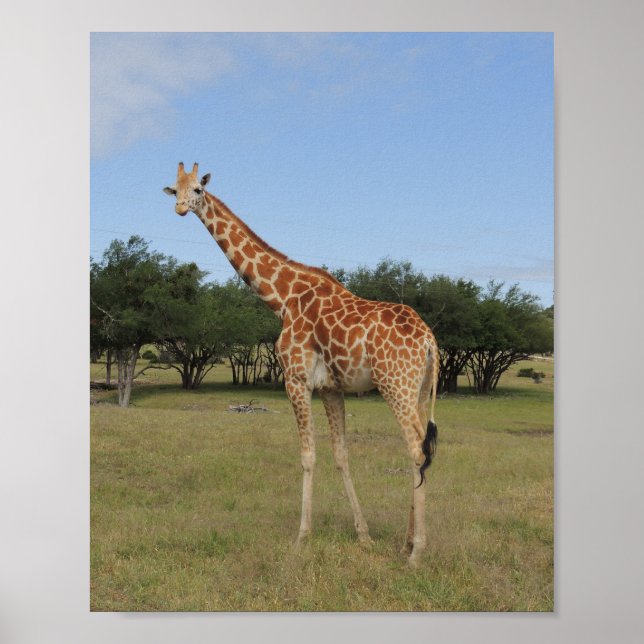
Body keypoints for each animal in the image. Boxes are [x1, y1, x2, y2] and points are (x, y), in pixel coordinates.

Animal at [164, 162, 439, 566]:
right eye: (175, 188)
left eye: (198, 188)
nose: (181, 208)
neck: (281, 298)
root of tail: (430, 342)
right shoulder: (330, 388)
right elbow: (341, 455)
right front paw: (364, 536)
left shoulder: (295, 378)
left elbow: (308, 456)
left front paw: (301, 537)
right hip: (419, 389)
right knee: (422, 452)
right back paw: (405, 543)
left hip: (396, 385)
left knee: (417, 450)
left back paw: (416, 553)